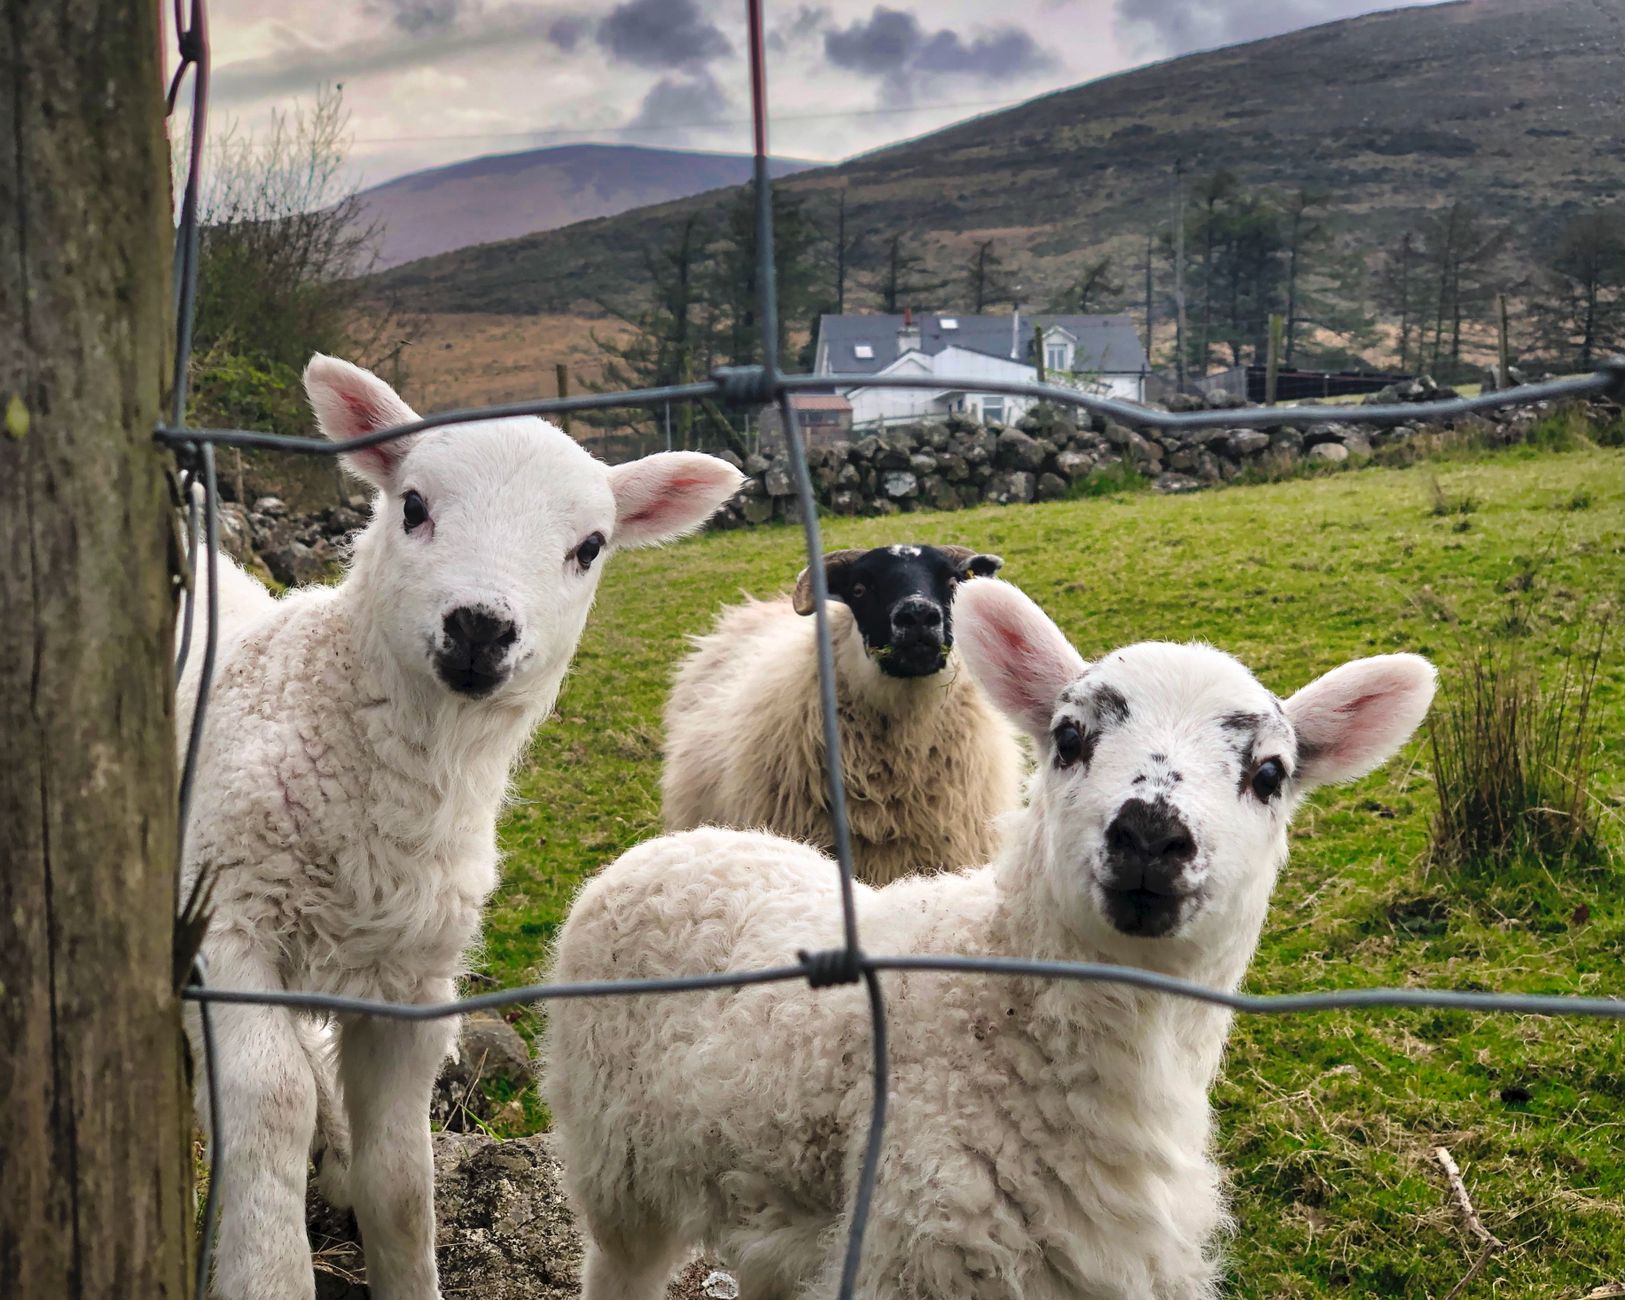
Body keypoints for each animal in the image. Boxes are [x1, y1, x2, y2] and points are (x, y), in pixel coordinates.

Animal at [176, 353, 742, 1300]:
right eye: (412, 505)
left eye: (590, 547)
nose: (481, 626)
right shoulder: (229, 923)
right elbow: (273, 1105)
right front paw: (268, 1271)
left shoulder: (411, 982)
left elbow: (403, 1179)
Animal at [545, 579, 1436, 1300]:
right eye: (1068, 738)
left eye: (1269, 773)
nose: (1149, 834)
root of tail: (675, 845)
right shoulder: (912, 1255)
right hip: (615, 1170)